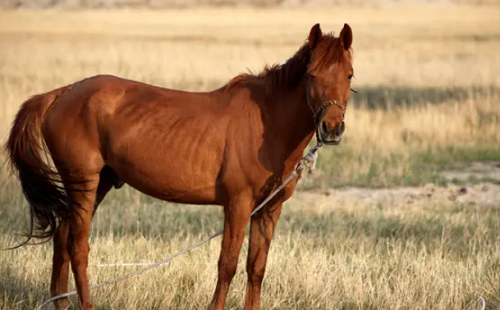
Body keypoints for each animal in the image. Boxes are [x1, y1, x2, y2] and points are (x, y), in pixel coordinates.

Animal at [5, 23, 354, 310]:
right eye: (311, 75)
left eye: (349, 74)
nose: (331, 128)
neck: (267, 121)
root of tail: (62, 93)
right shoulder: (238, 205)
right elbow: (227, 264)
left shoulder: (268, 210)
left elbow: (256, 268)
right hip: (84, 183)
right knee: (78, 246)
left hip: (97, 184)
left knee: (63, 238)